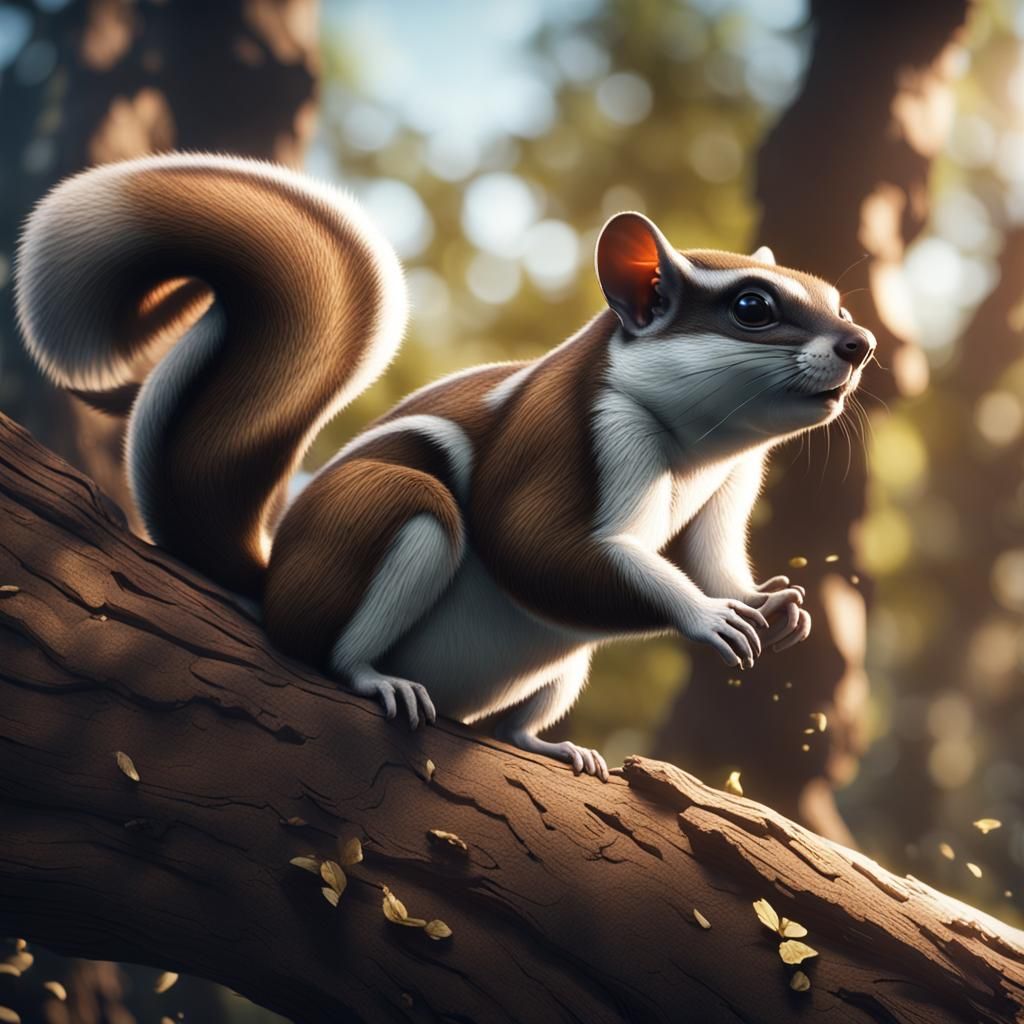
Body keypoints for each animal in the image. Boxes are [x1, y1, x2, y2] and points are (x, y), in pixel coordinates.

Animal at [14, 153, 875, 782]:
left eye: (837, 299)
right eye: (753, 308)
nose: (860, 343)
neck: (701, 445)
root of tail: (272, 581)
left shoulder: (734, 484)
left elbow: (711, 556)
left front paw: (774, 605)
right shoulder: (572, 437)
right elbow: (539, 548)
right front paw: (708, 616)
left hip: (568, 663)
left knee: (516, 719)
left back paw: (551, 745)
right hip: (399, 516)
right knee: (334, 646)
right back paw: (376, 679)